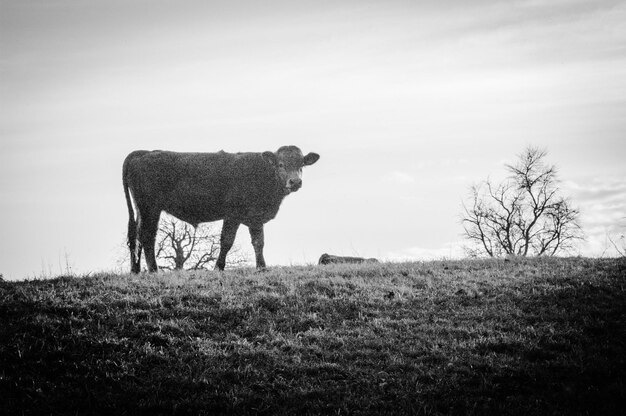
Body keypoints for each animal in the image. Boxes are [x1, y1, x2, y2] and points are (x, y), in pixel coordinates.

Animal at [122, 145, 320, 272]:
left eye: (301, 165)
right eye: (280, 164)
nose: (295, 182)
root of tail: (144, 152)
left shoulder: (255, 218)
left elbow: (259, 242)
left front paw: (262, 267)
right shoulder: (232, 215)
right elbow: (227, 241)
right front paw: (219, 267)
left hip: (142, 210)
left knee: (136, 237)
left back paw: (136, 270)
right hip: (150, 208)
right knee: (147, 237)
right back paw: (154, 270)